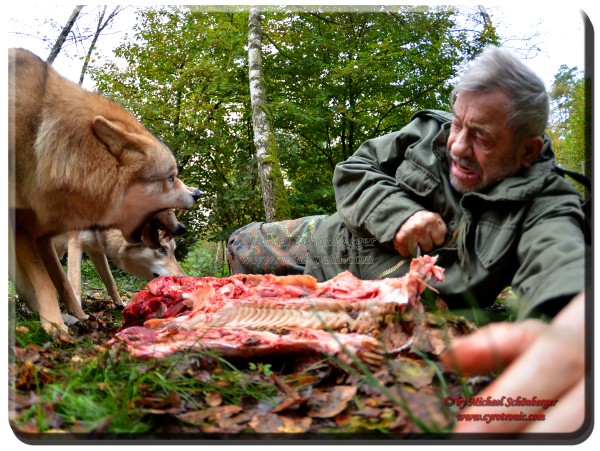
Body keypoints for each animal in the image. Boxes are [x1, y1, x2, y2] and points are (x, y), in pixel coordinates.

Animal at [9, 48, 200, 332]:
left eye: (174, 252)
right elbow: (71, 281)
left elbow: (105, 280)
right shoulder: (72, 243)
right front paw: (69, 320)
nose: (197, 194)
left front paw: (114, 305)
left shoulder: (93, 250)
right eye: (171, 177)